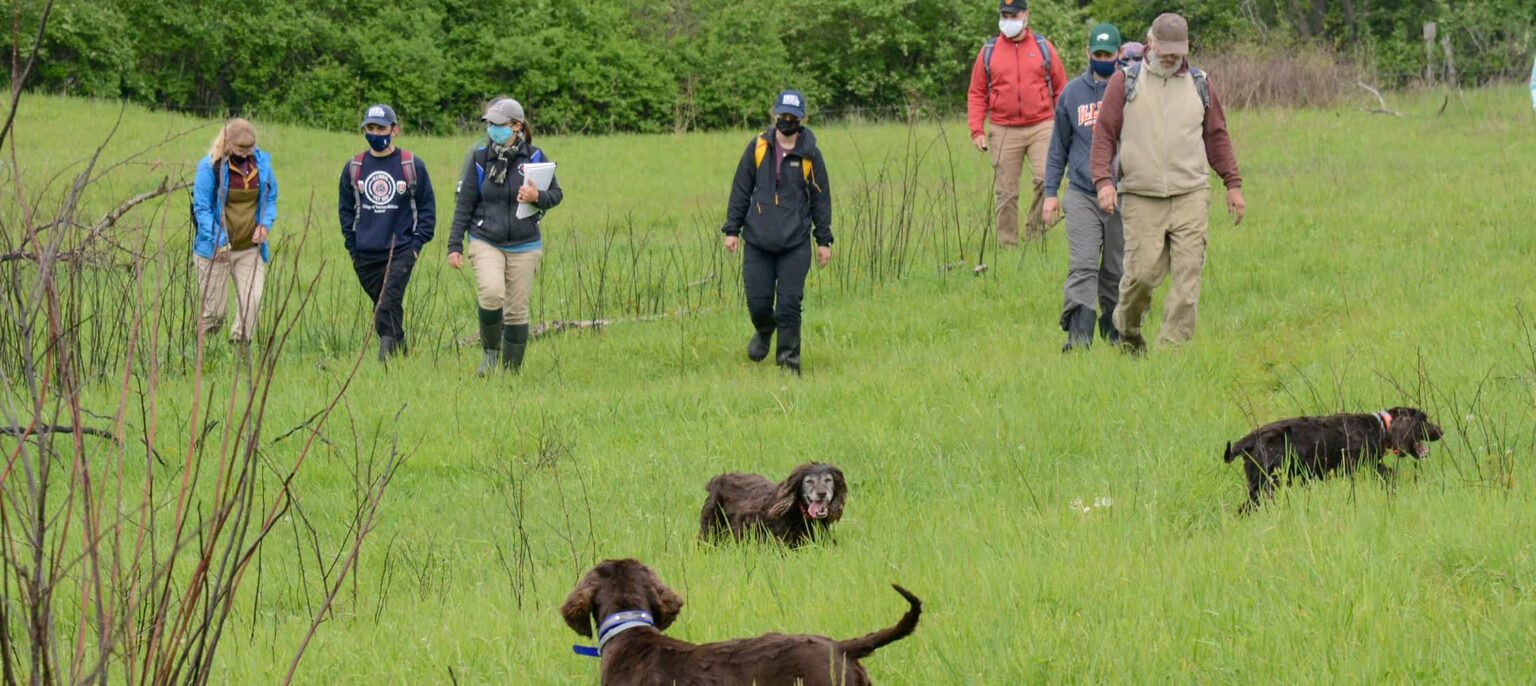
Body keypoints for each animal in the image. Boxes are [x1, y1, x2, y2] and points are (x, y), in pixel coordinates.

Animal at [1224, 406, 1443, 509]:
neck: (1380, 427)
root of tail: (1247, 442)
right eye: (1424, 420)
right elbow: (1389, 473)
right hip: (1266, 484)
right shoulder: (1364, 465)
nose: (1441, 431)